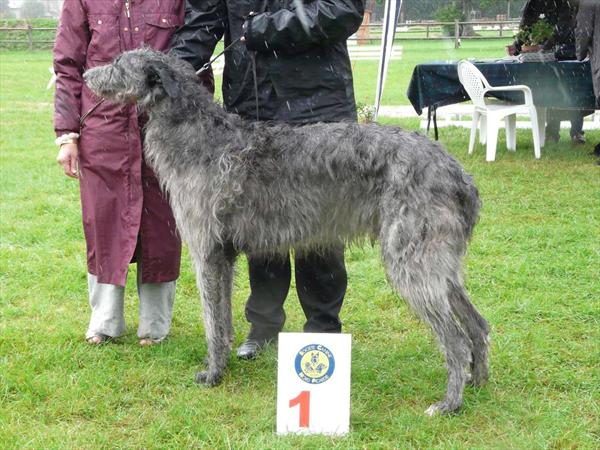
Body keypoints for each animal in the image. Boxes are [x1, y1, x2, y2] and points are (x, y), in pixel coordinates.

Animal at [83, 49, 488, 414]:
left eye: (118, 63)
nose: (86, 75)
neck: (199, 137)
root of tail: (458, 174)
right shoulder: (224, 256)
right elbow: (223, 318)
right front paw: (225, 362)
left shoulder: (206, 252)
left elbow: (211, 321)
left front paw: (212, 374)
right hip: (439, 263)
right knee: (477, 323)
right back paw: (478, 381)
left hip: (412, 260)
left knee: (455, 339)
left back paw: (449, 403)